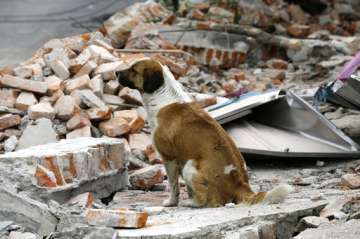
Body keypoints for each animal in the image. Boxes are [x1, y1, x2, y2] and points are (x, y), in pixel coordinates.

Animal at [116, 58, 292, 207]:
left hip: (189, 166)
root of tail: (240, 185)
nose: (116, 72)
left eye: (133, 70)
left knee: (210, 201)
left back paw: (192, 203)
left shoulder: (169, 158)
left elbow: (173, 186)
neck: (163, 96)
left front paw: (172, 202)